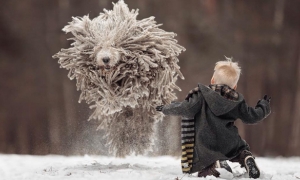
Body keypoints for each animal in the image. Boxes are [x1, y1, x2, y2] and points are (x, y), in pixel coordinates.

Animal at [53, 0, 185, 156]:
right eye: (98, 47)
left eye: (114, 45)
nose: (105, 59)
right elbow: (107, 93)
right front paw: (113, 98)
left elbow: (134, 87)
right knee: (121, 124)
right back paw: (124, 142)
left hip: (147, 105)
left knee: (141, 122)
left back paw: (138, 141)